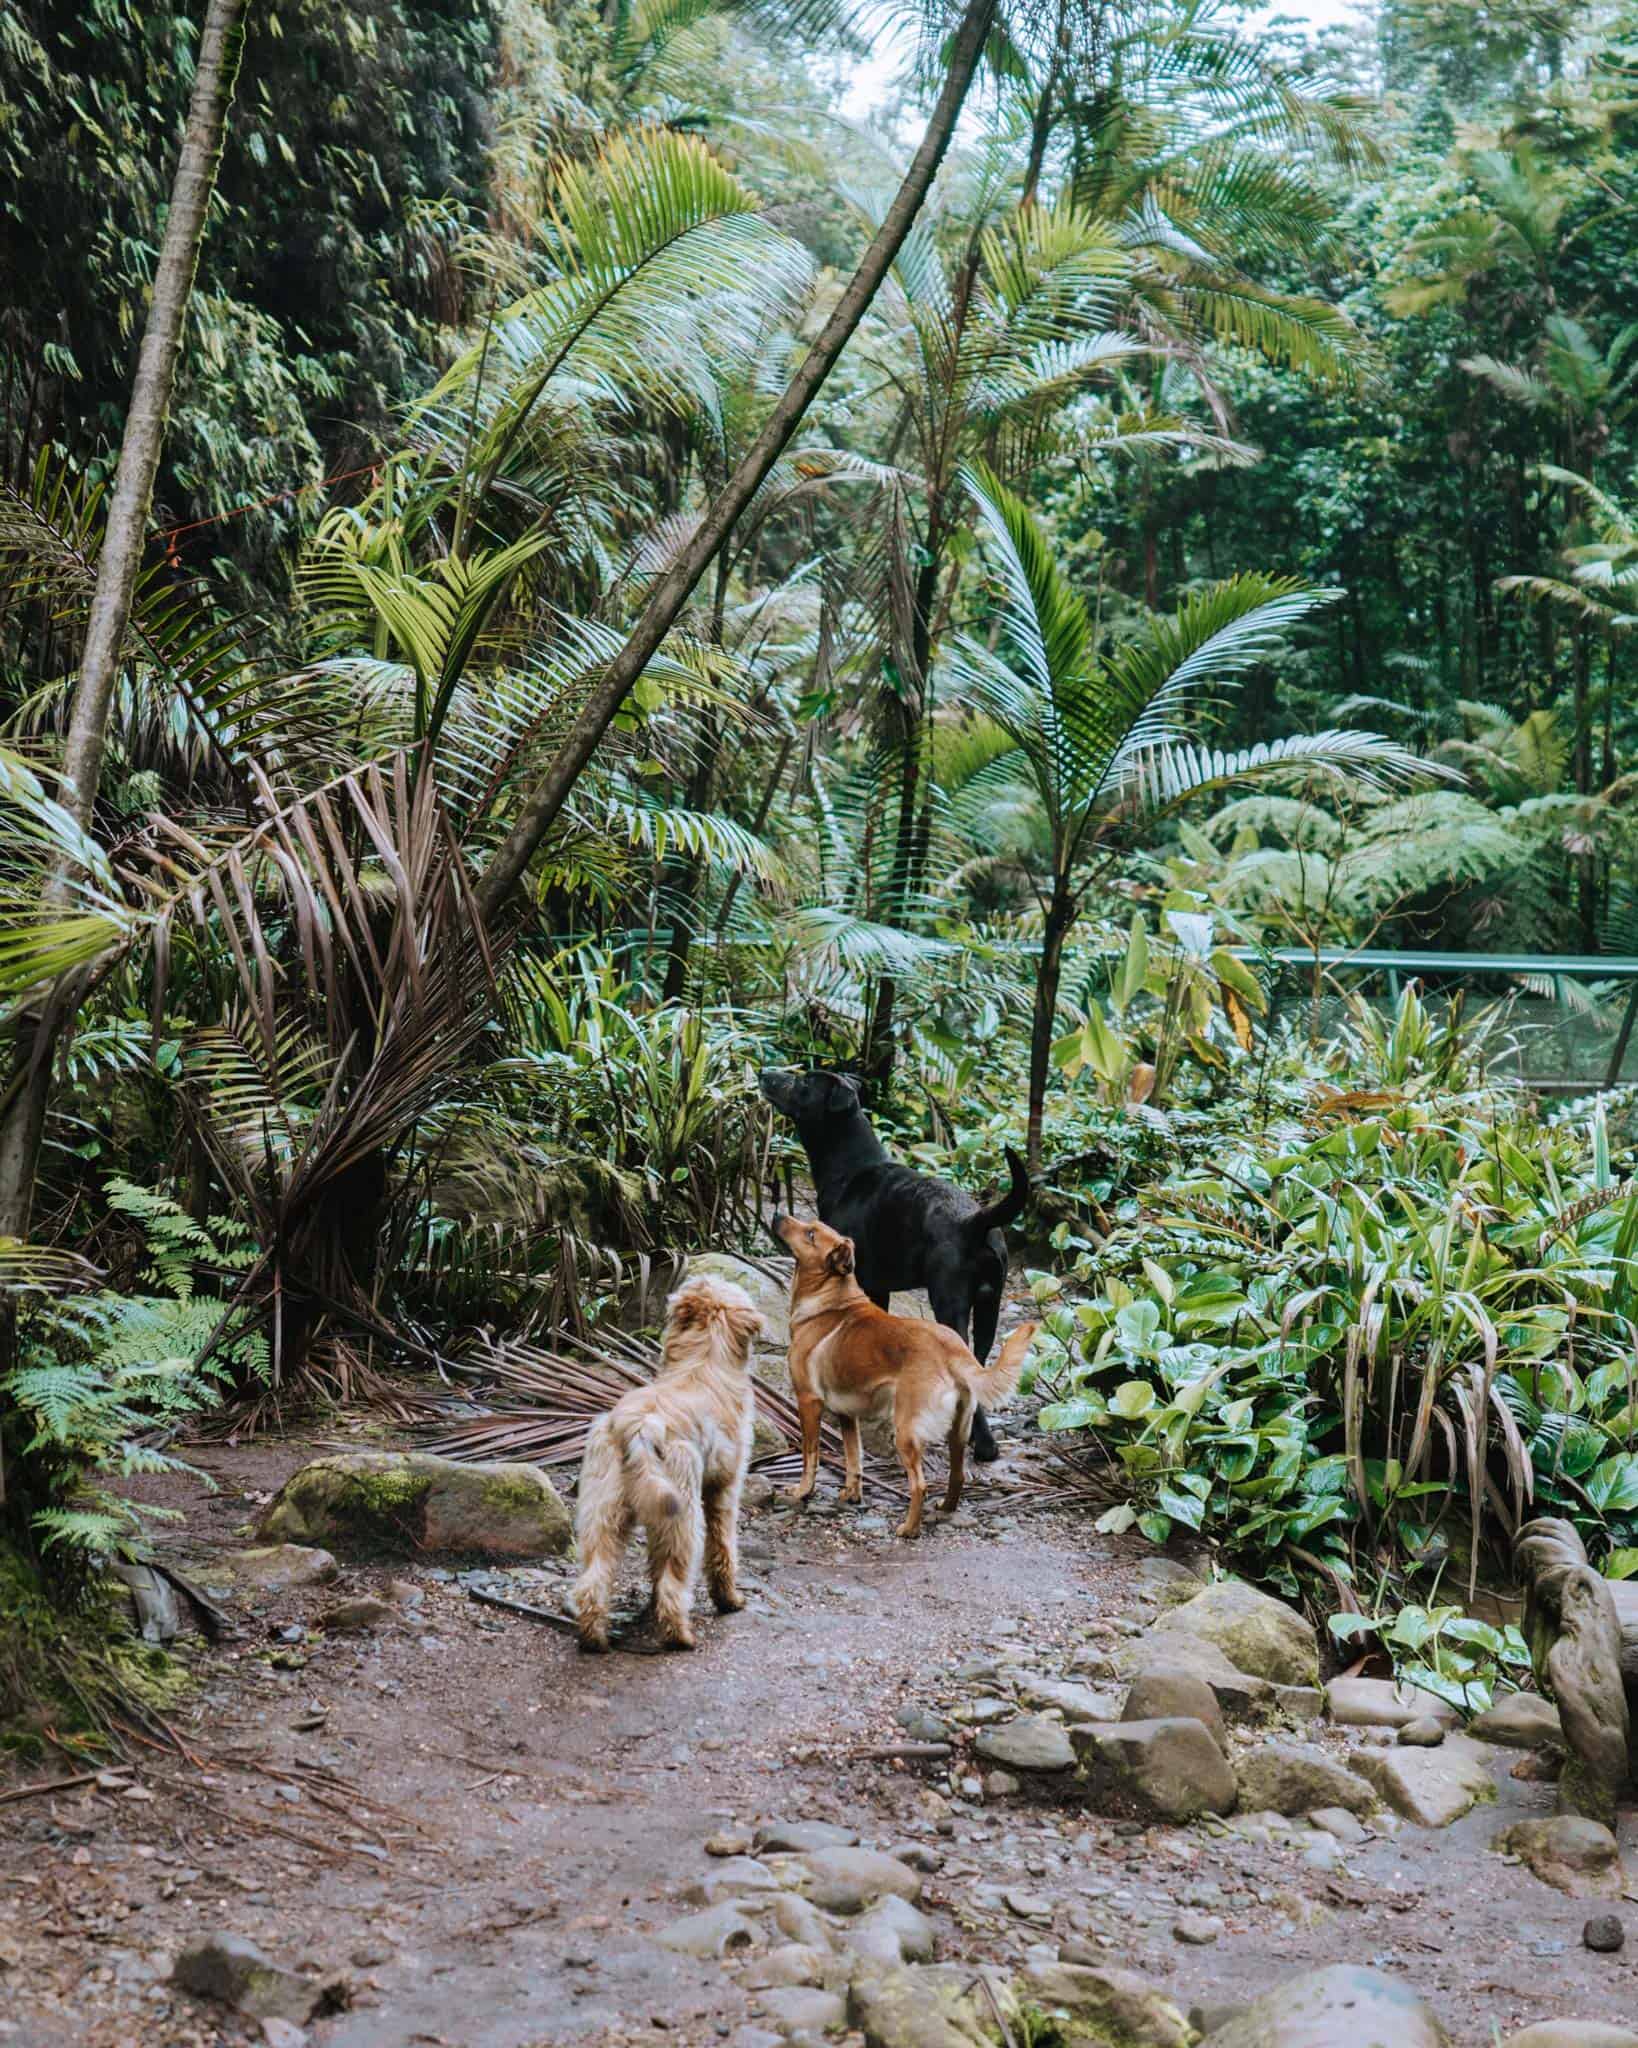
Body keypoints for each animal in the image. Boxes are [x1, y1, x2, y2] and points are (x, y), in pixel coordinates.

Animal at [569, 1269, 761, 1654]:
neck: (703, 1361)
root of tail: (638, 1426)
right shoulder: (724, 1490)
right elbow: (723, 1549)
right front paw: (729, 1600)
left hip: (603, 1512)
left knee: (592, 1581)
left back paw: (595, 1639)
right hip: (683, 1515)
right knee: (676, 1582)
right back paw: (681, 1637)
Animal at [757, 1073, 1023, 1458]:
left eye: (805, 1082)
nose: (765, 1072)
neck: (850, 1167)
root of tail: (975, 1221)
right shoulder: (878, 1287)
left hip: (950, 1303)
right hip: (991, 1306)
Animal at [769, 1204, 1036, 1531]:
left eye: (809, 1234)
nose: (777, 1215)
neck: (829, 1296)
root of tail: (953, 1349)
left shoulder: (808, 1401)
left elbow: (810, 1456)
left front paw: (802, 1491)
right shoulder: (847, 1415)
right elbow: (854, 1458)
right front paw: (852, 1493)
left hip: (905, 1430)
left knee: (919, 1484)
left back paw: (908, 1529)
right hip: (958, 1431)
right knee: (957, 1475)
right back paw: (945, 1509)